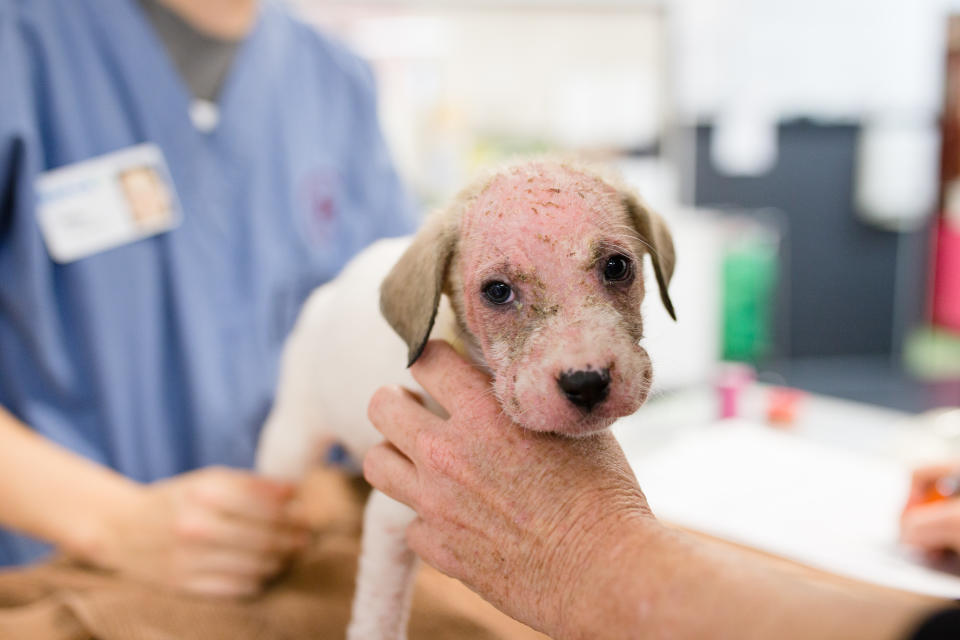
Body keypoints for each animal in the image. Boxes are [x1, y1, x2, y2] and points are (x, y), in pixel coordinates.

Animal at [255, 160, 676, 640]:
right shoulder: (390, 518)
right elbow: (379, 613)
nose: (586, 382)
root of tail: (330, 292)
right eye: (497, 291)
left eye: (617, 266)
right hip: (292, 437)